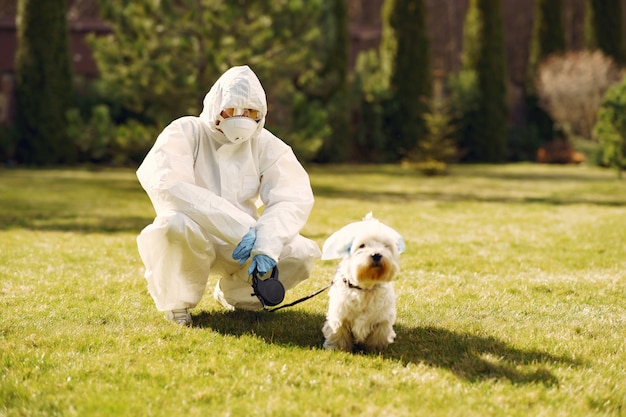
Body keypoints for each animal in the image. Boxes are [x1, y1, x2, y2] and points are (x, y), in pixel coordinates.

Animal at [322, 211, 404, 352]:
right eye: (362, 245)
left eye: (385, 246)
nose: (376, 254)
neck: (365, 288)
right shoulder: (340, 315)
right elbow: (339, 333)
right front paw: (338, 348)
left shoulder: (381, 320)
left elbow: (378, 335)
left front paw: (375, 349)